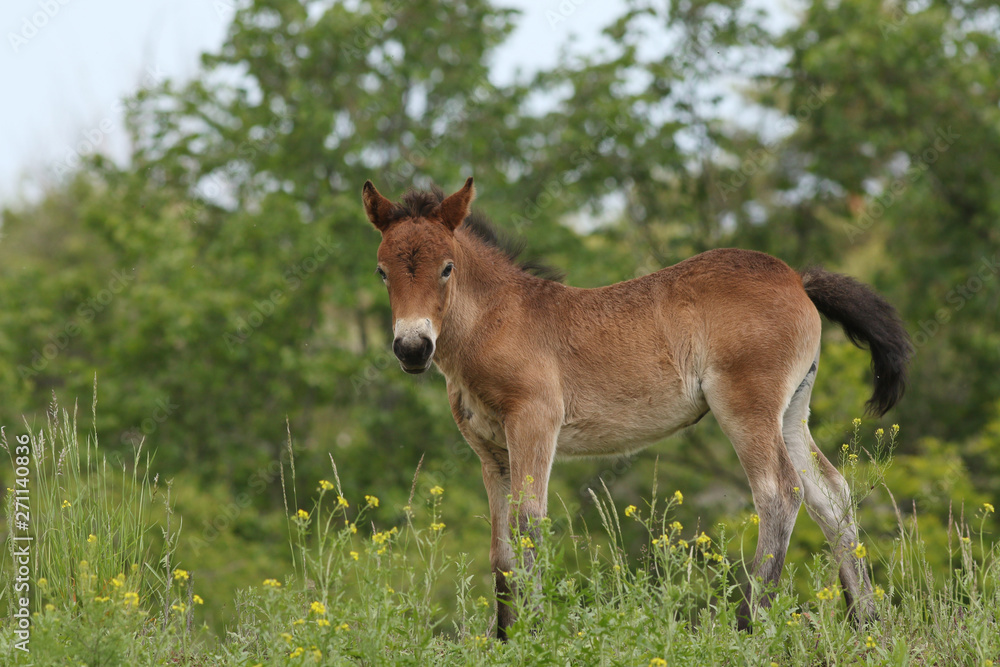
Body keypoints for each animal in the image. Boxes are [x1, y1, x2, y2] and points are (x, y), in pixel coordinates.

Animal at [362, 177, 916, 640]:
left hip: (746, 406)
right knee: (831, 494)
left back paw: (746, 624)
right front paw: (504, 635)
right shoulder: (490, 452)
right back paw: (867, 621)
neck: (496, 322)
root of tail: (798, 280)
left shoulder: (534, 424)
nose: (412, 348)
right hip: (791, 413)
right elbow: (502, 548)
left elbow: (529, 525)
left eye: (447, 267)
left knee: (779, 491)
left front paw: (535, 632)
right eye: (382, 271)